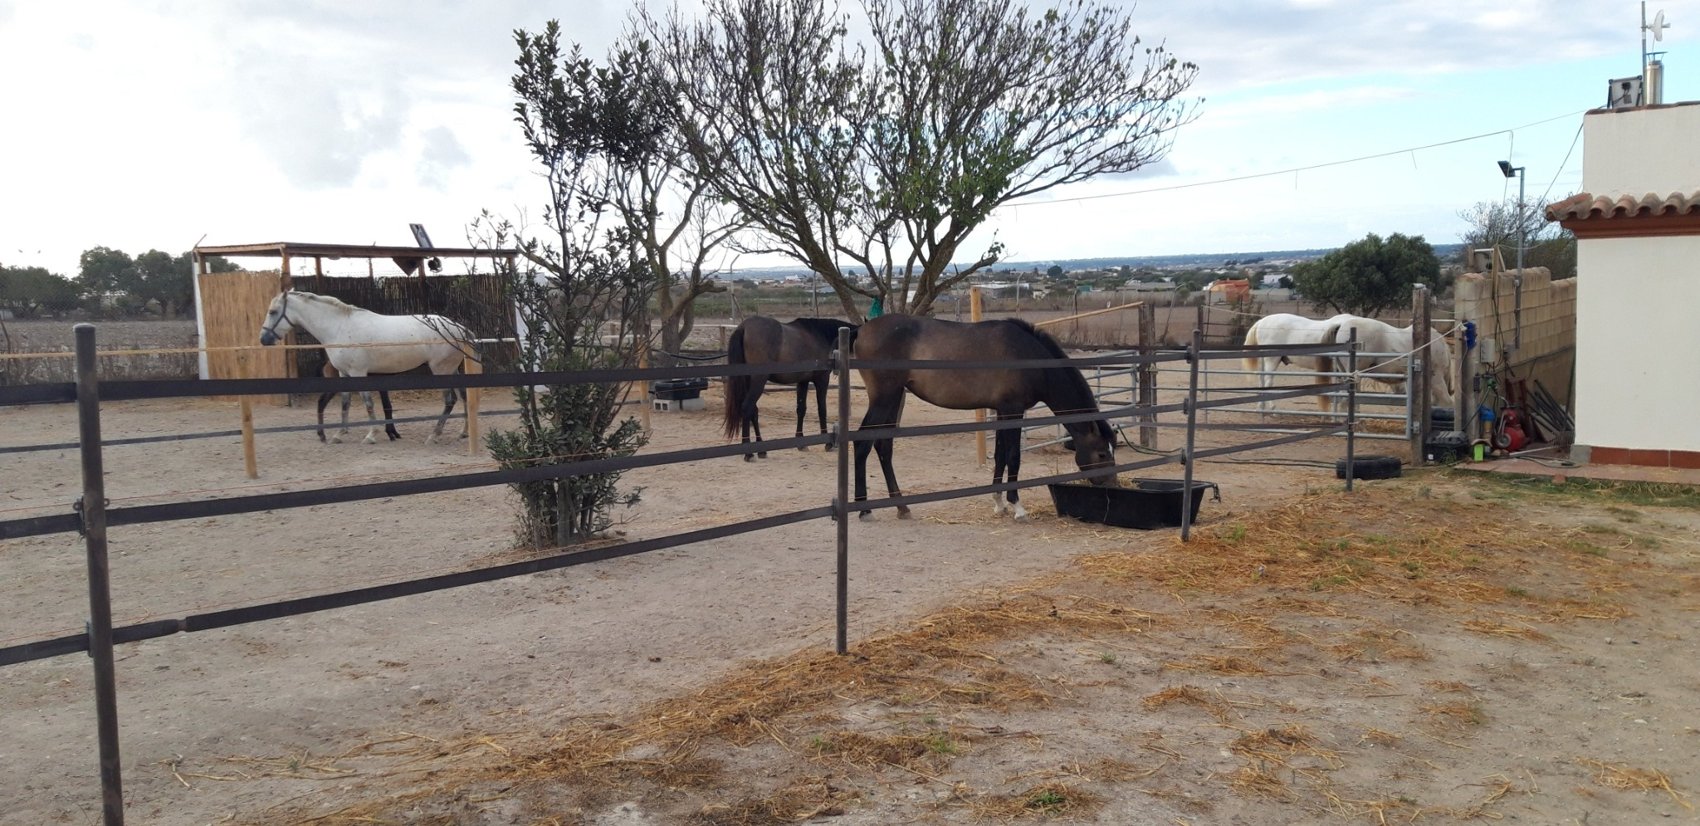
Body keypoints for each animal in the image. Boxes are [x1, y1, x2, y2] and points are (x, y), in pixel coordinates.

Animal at [257, 290, 477, 445]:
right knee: (465, 397)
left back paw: (434, 435)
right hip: (453, 370)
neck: (339, 327)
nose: (263, 339)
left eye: (273, 312)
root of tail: (460, 328)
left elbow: (368, 403)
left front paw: (371, 435)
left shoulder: (358, 373)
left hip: (441, 370)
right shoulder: (344, 374)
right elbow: (345, 404)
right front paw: (338, 434)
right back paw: (464, 432)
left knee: (450, 400)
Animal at [722, 316, 856, 460]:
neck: (820, 335)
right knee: (747, 407)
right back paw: (748, 453)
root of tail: (744, 327)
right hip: (759, 381)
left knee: (753, 410)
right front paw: (828, 444)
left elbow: (801, 409)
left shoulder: (803, 382)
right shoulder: (822, 380)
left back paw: (761, 450)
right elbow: (822, 409)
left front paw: (801, 443)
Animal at [852, 315, 1118, 522]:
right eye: (1101, 454)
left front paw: (999, 503)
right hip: (885, 398)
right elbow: (1013, 456)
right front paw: (1017, 507)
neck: (1030, 357)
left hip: (894, 398)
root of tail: (861, 329)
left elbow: (1000, 455)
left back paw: (901, 506)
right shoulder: (1013, 410)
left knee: (883, 446)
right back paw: (864, 509)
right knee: (862, 443)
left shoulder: (1001, 410)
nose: (1112, 484)